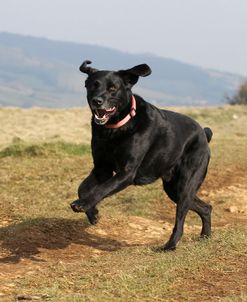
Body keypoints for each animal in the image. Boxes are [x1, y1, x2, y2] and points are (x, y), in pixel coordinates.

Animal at [70, 60, 213, 251]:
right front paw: (93, 213)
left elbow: (102, 189)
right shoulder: (102, 169)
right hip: (173, 188)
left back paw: (170, 245)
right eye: (92, 85)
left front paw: (82, 204)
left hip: (186, 185)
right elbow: (83, 188)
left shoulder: (126, 173)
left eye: (113, 88)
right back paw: (205, 236)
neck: (115, 129)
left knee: (180, 219)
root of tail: (204, 133)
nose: (97, 101)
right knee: (206, 207)